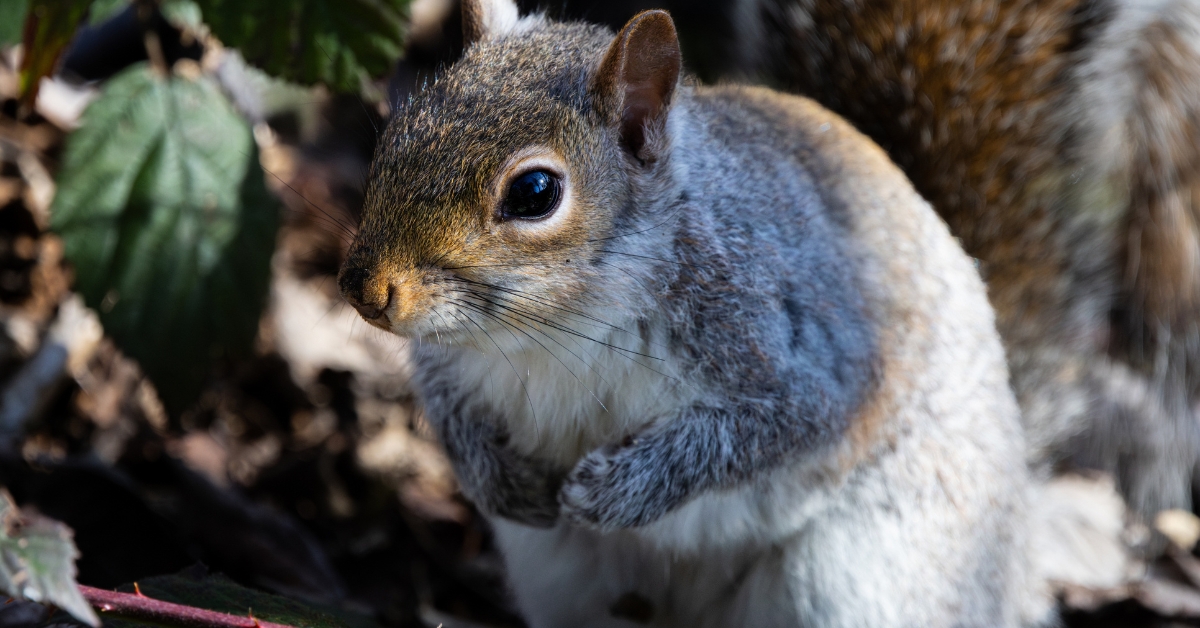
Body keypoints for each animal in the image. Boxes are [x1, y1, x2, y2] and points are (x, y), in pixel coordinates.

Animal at [339, 0, 1041, 625]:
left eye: (535, 192)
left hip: (869, 573)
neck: (561, 323)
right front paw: (499, 481)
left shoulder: (795, 347)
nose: (364, 292)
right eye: (398, 131)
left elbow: (771, 428)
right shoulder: (449, 361)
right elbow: (449, 410)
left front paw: (617, 490)